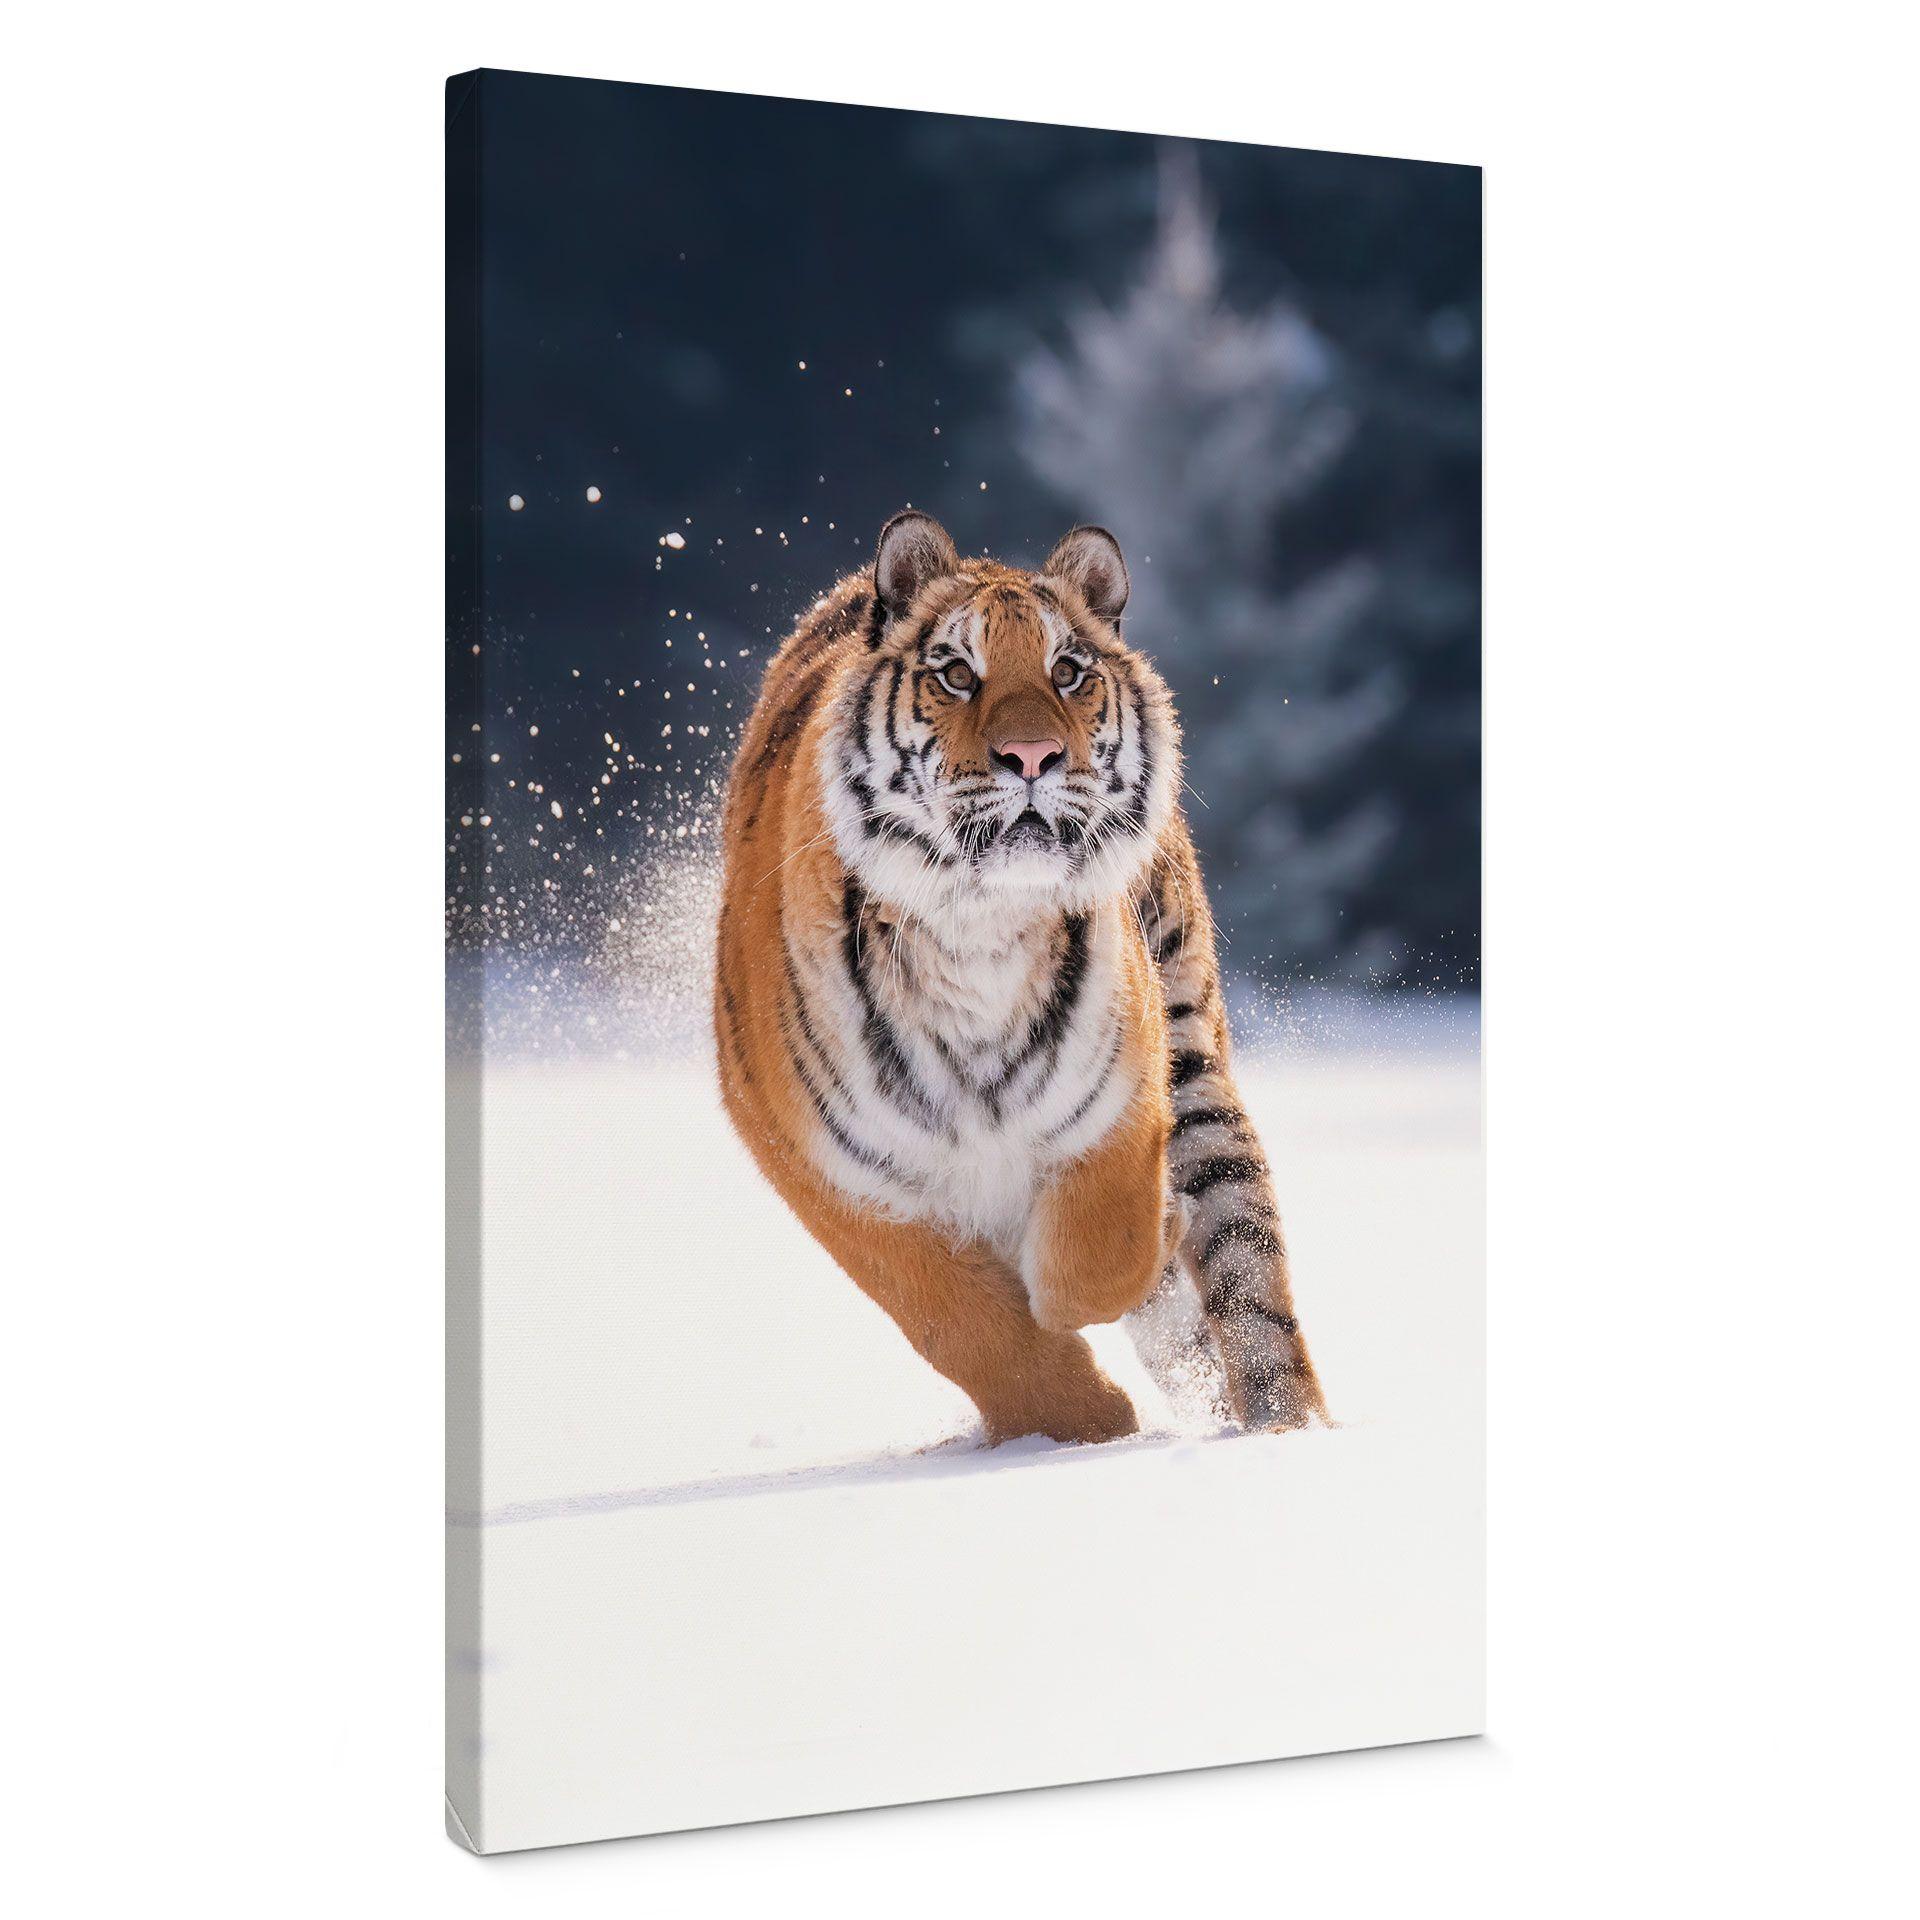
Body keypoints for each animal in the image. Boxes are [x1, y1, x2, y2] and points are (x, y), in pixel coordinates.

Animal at [712, 510, 1327, 1445]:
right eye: (957, 675)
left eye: (1067, 671)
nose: (1031, 755)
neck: (979, 929)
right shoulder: (823, 1164)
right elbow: (958, 1321)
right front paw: (1084, 1422)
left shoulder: (1123, 1092)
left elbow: (1100, 1256)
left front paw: (1146, 1241)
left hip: (1194, 1050)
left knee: (1251, 1283)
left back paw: (1286, 1431)